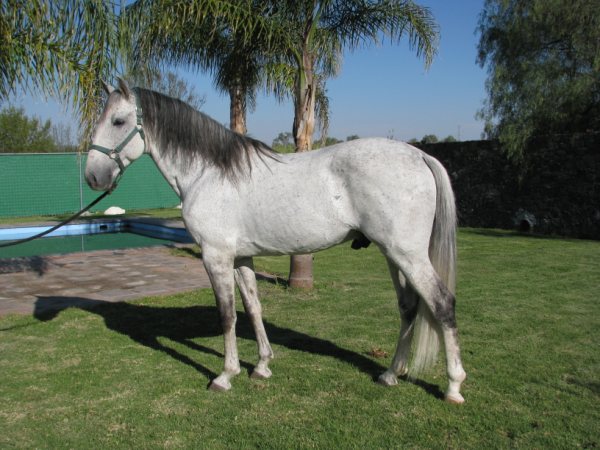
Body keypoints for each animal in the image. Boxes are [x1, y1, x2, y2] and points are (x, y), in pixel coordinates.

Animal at [85, 78, 467, 403]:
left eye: (118, 121)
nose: (92, 176)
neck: (209, 173)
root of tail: (419, 155)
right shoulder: (240, 258)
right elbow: (253, 308)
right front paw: (263, 365)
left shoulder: (215, 257)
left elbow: (227, 315)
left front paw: (225, 376)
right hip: (393, 255)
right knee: (409, 307)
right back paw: (390, 374)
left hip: (408, 255)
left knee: (442, 303)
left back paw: (453, 386)